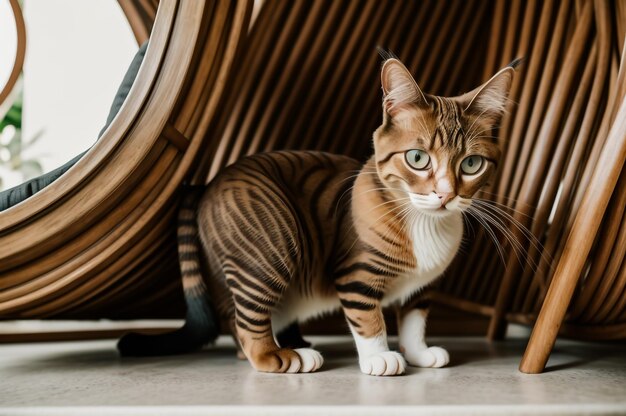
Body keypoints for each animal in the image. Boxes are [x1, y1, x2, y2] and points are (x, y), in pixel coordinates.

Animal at [117, 53, 516, 376]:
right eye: (417, 158)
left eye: (472, 164)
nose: (446, 194)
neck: (423, 222)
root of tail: (209, 182)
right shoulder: (355, 274)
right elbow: (368, 318)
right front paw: (379, 357)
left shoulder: (422, 286)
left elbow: (414, 319)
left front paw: (418, 352)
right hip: (273, 245)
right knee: (248, 321)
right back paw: (279, 355)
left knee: (235, 314)